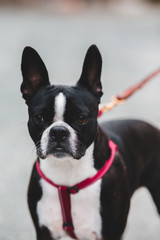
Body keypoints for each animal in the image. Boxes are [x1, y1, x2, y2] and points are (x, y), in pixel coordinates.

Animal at [20, 45, 160, 240]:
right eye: (38, 117)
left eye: (82, 118)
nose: (58, 132)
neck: (67, 171)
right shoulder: (44, 231)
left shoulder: (110, 233)